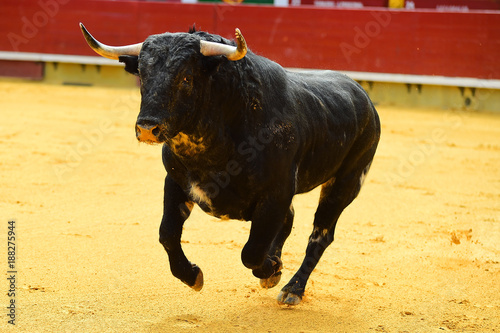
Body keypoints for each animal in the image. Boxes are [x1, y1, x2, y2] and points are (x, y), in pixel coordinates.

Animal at [81, 24, 378, 304]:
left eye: (187, 78)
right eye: (143, 76)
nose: (147, 128)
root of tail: (364, 98)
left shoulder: (277, 193)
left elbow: (251, 251)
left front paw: (272, 269)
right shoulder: (176, 182)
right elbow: (167, 234)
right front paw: (193, 276)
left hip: (346, 182)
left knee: (320, 236)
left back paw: (293, 289)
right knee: (290, 220)